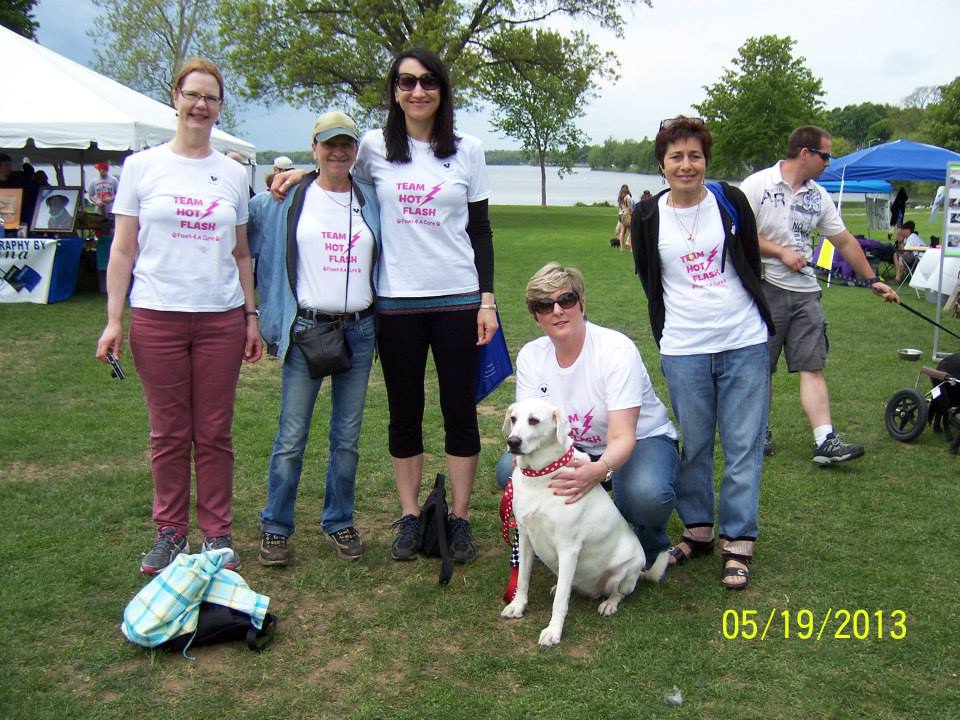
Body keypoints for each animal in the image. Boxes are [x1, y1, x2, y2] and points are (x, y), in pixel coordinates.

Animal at [500, 398, 668, 646]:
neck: (540, 475)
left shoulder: (568, 548)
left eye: (534, 420)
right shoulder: (526, 538)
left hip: (624, 572)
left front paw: (553, 631)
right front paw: (517, 606)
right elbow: (522, 579)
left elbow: (560, 601)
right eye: (513, 419)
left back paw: (608, 604)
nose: (512, 442)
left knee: (619, 592)